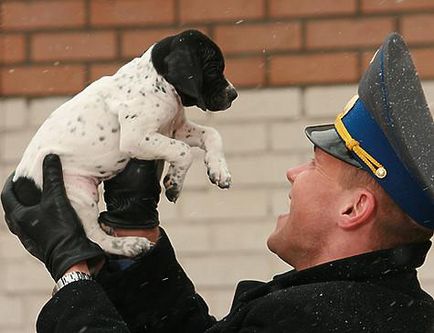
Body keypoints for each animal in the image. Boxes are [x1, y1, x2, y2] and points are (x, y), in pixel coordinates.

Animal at [12, 29, 237, 255]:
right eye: (213, 69)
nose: (234, 94)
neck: (158, 81)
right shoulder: (136, 137)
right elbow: (183, 151)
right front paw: (174, 182)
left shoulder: (175, 129)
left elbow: (212, 133)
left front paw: (219, 170)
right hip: (79, 193)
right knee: (94, 238)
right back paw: (130, 244)